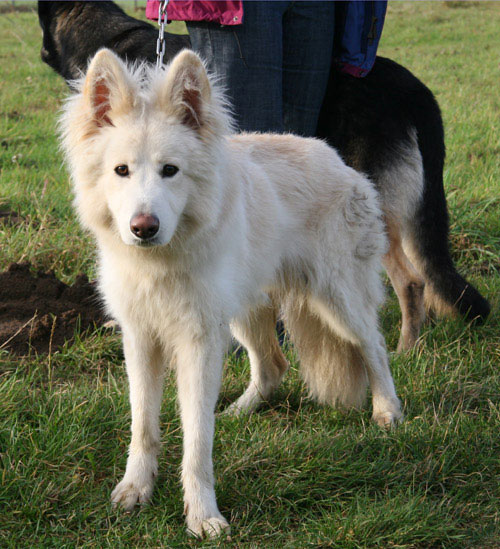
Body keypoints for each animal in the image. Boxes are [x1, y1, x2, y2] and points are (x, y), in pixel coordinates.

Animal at [60, 47, 402, 536]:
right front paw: (136, 490)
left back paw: (387, 410)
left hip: (337, 301)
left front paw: (202, 515)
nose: (144, 228)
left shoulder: (201, 342)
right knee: (274, 366)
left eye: (170, 171)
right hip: (244, 314)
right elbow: (143, 425)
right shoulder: (141, 339)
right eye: (121, 171)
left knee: (374, 345)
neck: (160, 263)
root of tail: (337, 160)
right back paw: (239, 412)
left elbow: (197, 439)